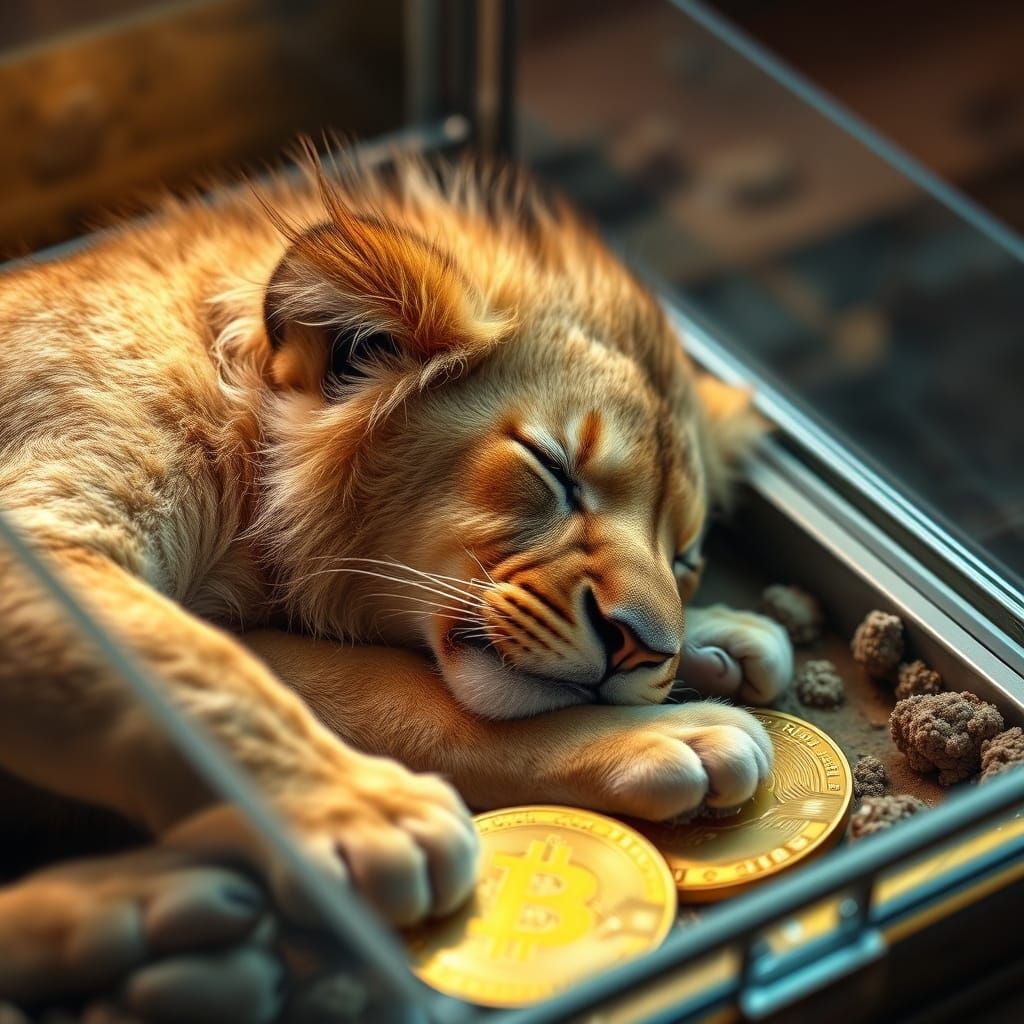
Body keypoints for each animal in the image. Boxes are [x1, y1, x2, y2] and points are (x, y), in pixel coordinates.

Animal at [0, 152, 791, 1022]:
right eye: (554, 470)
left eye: (684, 557)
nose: (645, 647)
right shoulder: (43, 539)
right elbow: (209, 677)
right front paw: (371, 815)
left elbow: (399, 700)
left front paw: (722, 640)